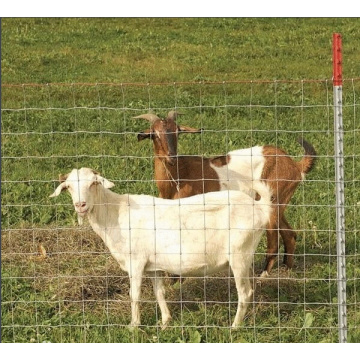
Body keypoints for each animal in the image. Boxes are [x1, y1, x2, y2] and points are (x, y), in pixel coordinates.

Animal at [50, 167, 272, 328]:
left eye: (93, 183)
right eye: (68, 187)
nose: (80, 205)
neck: (116, 213)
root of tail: (260, 208)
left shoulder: (136, 262)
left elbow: (135, 295)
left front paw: (134, 326)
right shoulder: (153, 266)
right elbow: (159, 292)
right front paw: (165, 322)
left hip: (239, 255)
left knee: (245, 293)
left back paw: (234, 327)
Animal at [134, 110, 316, 276]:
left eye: (177, 131)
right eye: (154, 134)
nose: (171, 157)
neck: (178, 177)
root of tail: (295, 165)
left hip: (273, 199)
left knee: (273, 239)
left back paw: (263, 275)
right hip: (280, 201)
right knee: (289, 234)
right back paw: (287, 269)